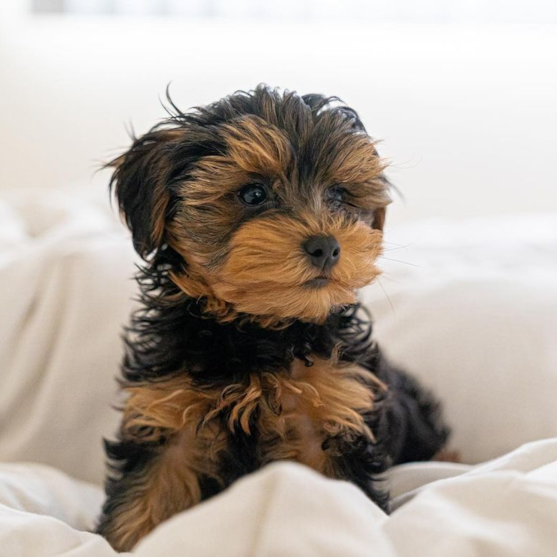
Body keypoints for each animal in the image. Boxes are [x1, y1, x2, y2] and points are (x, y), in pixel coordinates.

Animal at [99, 84, 448, 548]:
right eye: (253, 195)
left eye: (339, 196)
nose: (326, 245)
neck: (259, 331)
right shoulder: (166, 413)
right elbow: (143, 498)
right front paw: (120, 540)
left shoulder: (335, 413)